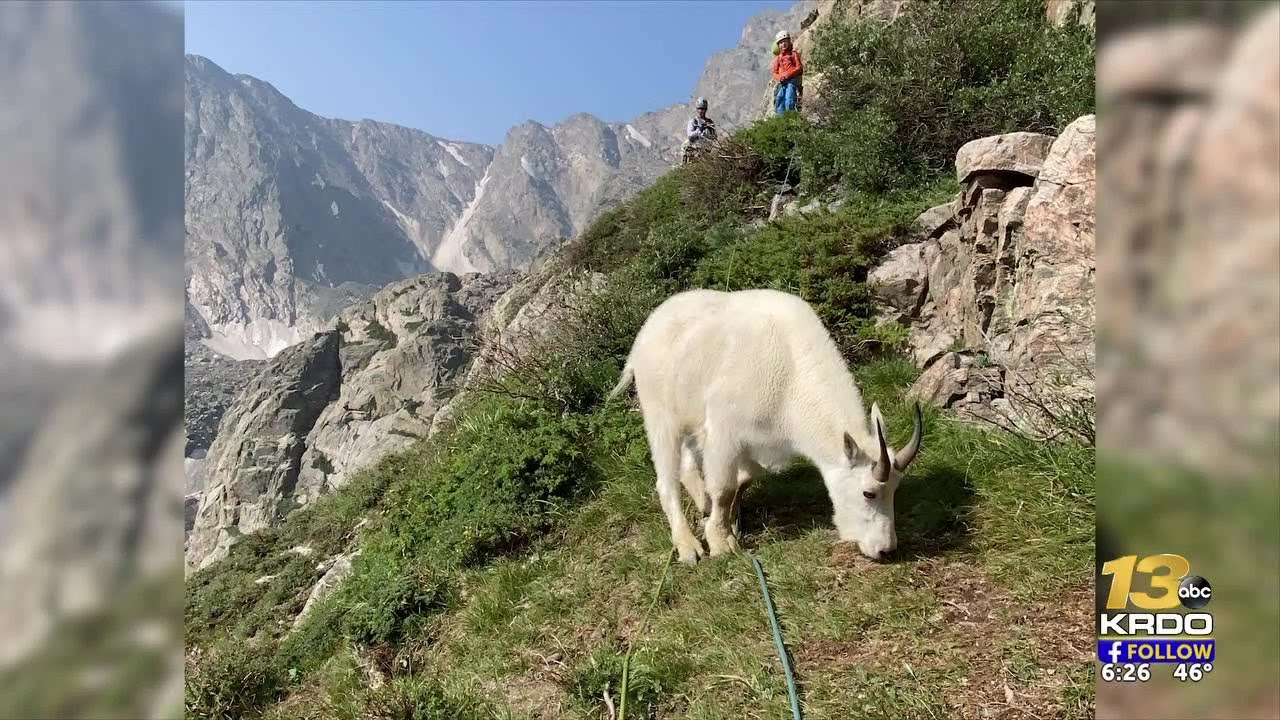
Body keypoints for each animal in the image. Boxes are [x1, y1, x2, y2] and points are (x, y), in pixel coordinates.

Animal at [608, 288, 922, 565]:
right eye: (869, 492)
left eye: (895, 489)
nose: (885, 550)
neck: (792, 378)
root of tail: (643, 336)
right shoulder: (723, 431)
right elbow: (723, 487)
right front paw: (721, 543)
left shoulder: (758, 442)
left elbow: (743, 479)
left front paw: (728, 523)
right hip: (659, 414)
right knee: (666, 480)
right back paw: (688, 546)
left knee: (687, 464)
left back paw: (703, 504)